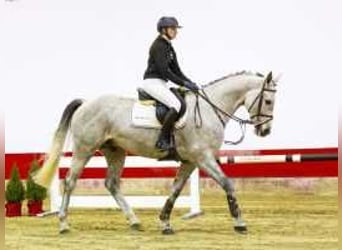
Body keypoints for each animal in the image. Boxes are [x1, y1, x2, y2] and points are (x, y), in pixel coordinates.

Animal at [32, 70, 278, 234]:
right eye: (267, 101)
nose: (265, 131)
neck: (209, 109)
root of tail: (85, 103)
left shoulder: (190, 161)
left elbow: (175, 190)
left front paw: (165, 222)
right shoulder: (203, 158)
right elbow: (228, 183)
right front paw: (239, 223)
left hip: (115, 151)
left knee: (112, 183)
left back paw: (134, 221)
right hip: (85, 148)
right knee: (70, 181)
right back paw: (63, 223)